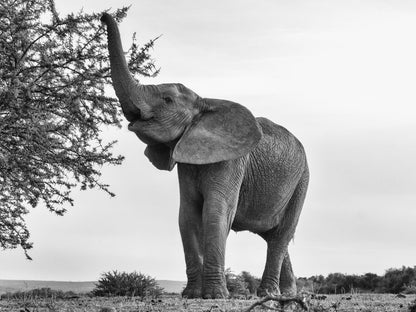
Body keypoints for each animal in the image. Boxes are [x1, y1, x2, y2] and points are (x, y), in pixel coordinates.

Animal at [101, 13, 308, 298]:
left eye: (167, 100)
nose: (103, 16)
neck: (204, 102)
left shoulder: (231, 161)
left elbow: (214, 213)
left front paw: (214, 296)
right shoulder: (187, 161)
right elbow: (186, 215)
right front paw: (191, 295)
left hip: (301, 181)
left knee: (280, 236)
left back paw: (269, 294)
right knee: (275, 237)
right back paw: (285, 294)